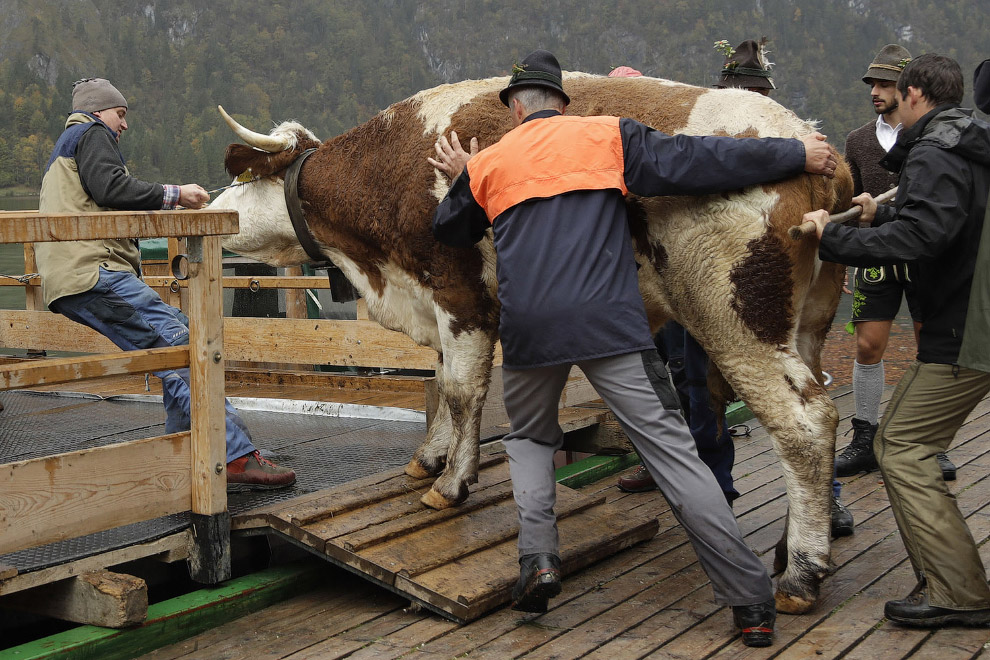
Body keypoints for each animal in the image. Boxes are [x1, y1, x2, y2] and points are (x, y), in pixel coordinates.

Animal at [213, 73, 856, 612]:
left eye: (239, 181)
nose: (203, 205)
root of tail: (815, 147)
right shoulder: (438, 306)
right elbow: (442, 381)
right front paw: (429, 458)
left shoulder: (462, 297)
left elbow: (462, 390)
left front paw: (452, 483)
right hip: (808, 326)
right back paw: (793, 549)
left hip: (736, 319)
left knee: (805, 424)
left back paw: (800, 574)